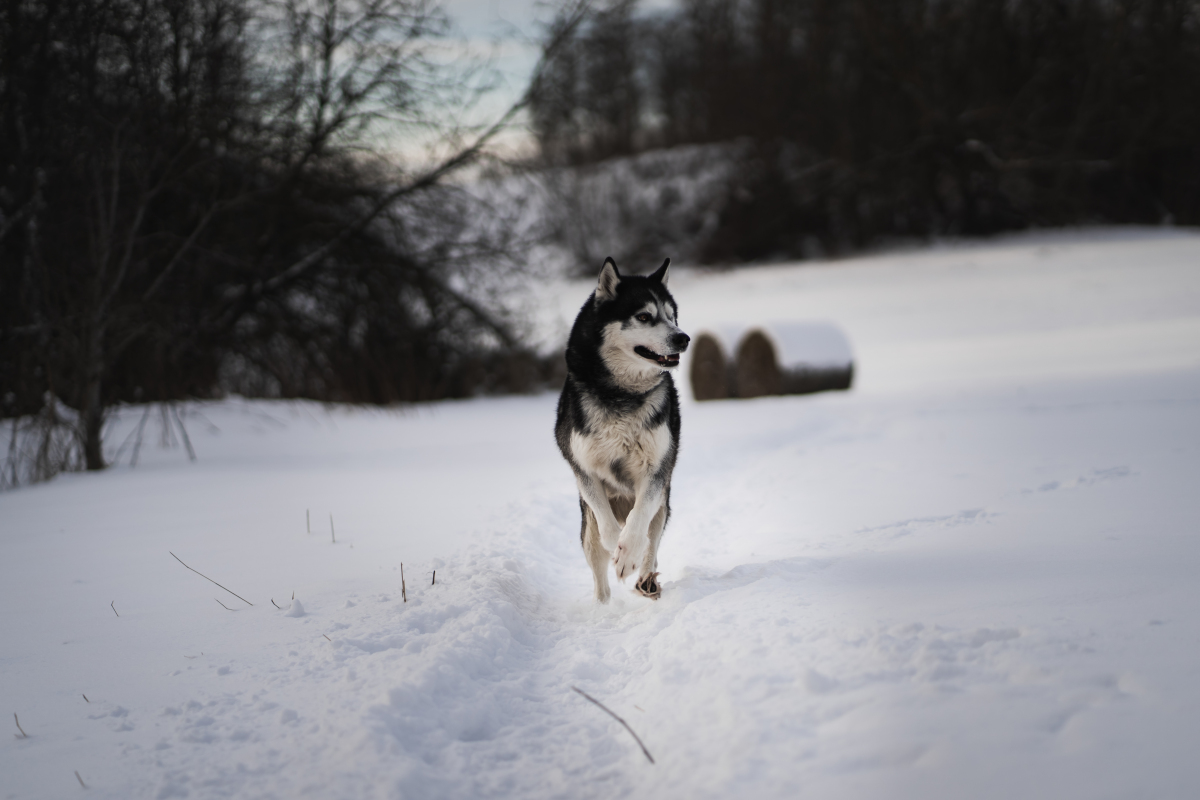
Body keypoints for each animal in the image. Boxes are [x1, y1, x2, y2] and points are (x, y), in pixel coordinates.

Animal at [554, 256, 691, 599]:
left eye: (672, 316)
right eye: (644, 316)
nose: (683, 338)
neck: (622, 394)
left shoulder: (657, 470)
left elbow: (639, 518)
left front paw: (628, 555)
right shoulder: (584, 469)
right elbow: (607, 521)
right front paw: (617, 546)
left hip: (664, 505)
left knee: (651, 542)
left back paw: (646, 578)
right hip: (586, 528)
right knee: (598, 571)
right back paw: (603, 603)